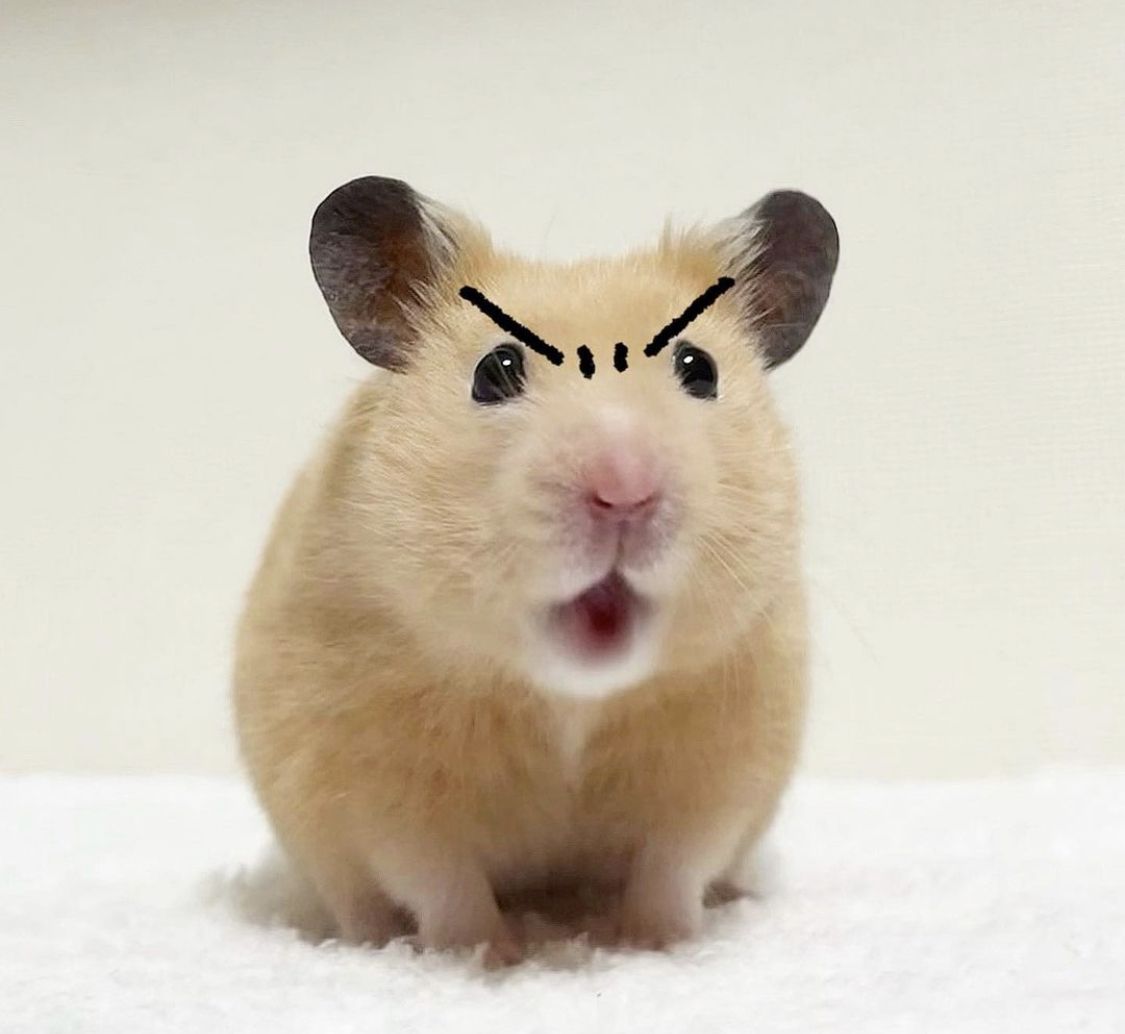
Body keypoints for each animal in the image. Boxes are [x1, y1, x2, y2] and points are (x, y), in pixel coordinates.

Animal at [233, 176, 838, 962]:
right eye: (496, 371)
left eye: (698, 370)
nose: (623, 488)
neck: (568, 700)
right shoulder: (380, 784)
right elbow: (443, 884)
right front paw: (491, 953)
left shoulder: (722, 769)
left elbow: (673, 868)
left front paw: (651, 945)